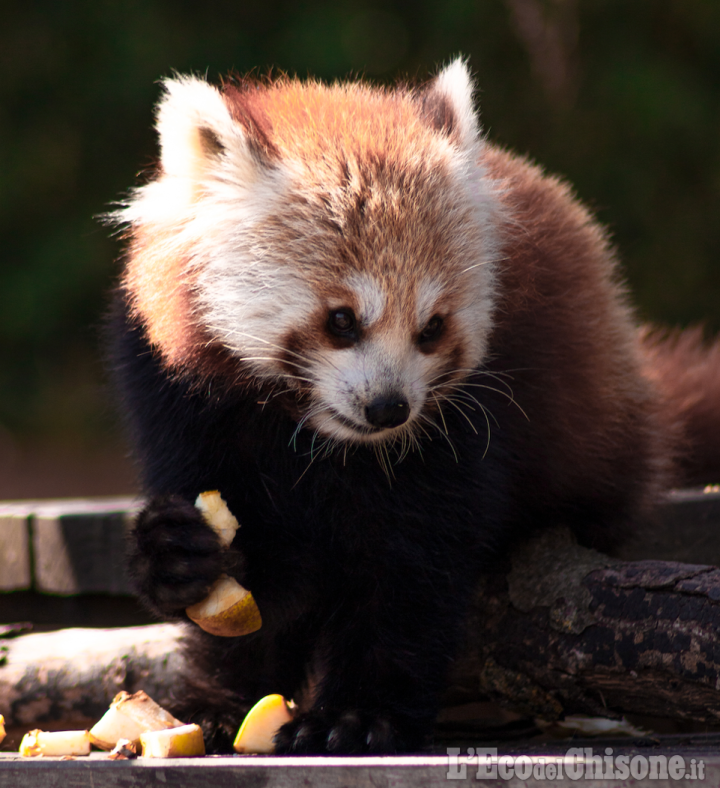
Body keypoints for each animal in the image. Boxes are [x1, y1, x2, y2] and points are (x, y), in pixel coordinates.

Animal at [107, 60, 720, 752]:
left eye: (431, 328)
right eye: (341, 320)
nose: (388, 408)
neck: (318, 440)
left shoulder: (470, 421)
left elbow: (408, 568)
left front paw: (356, 714)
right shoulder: (177, 392)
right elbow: (262, 570)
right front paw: (178, 566)